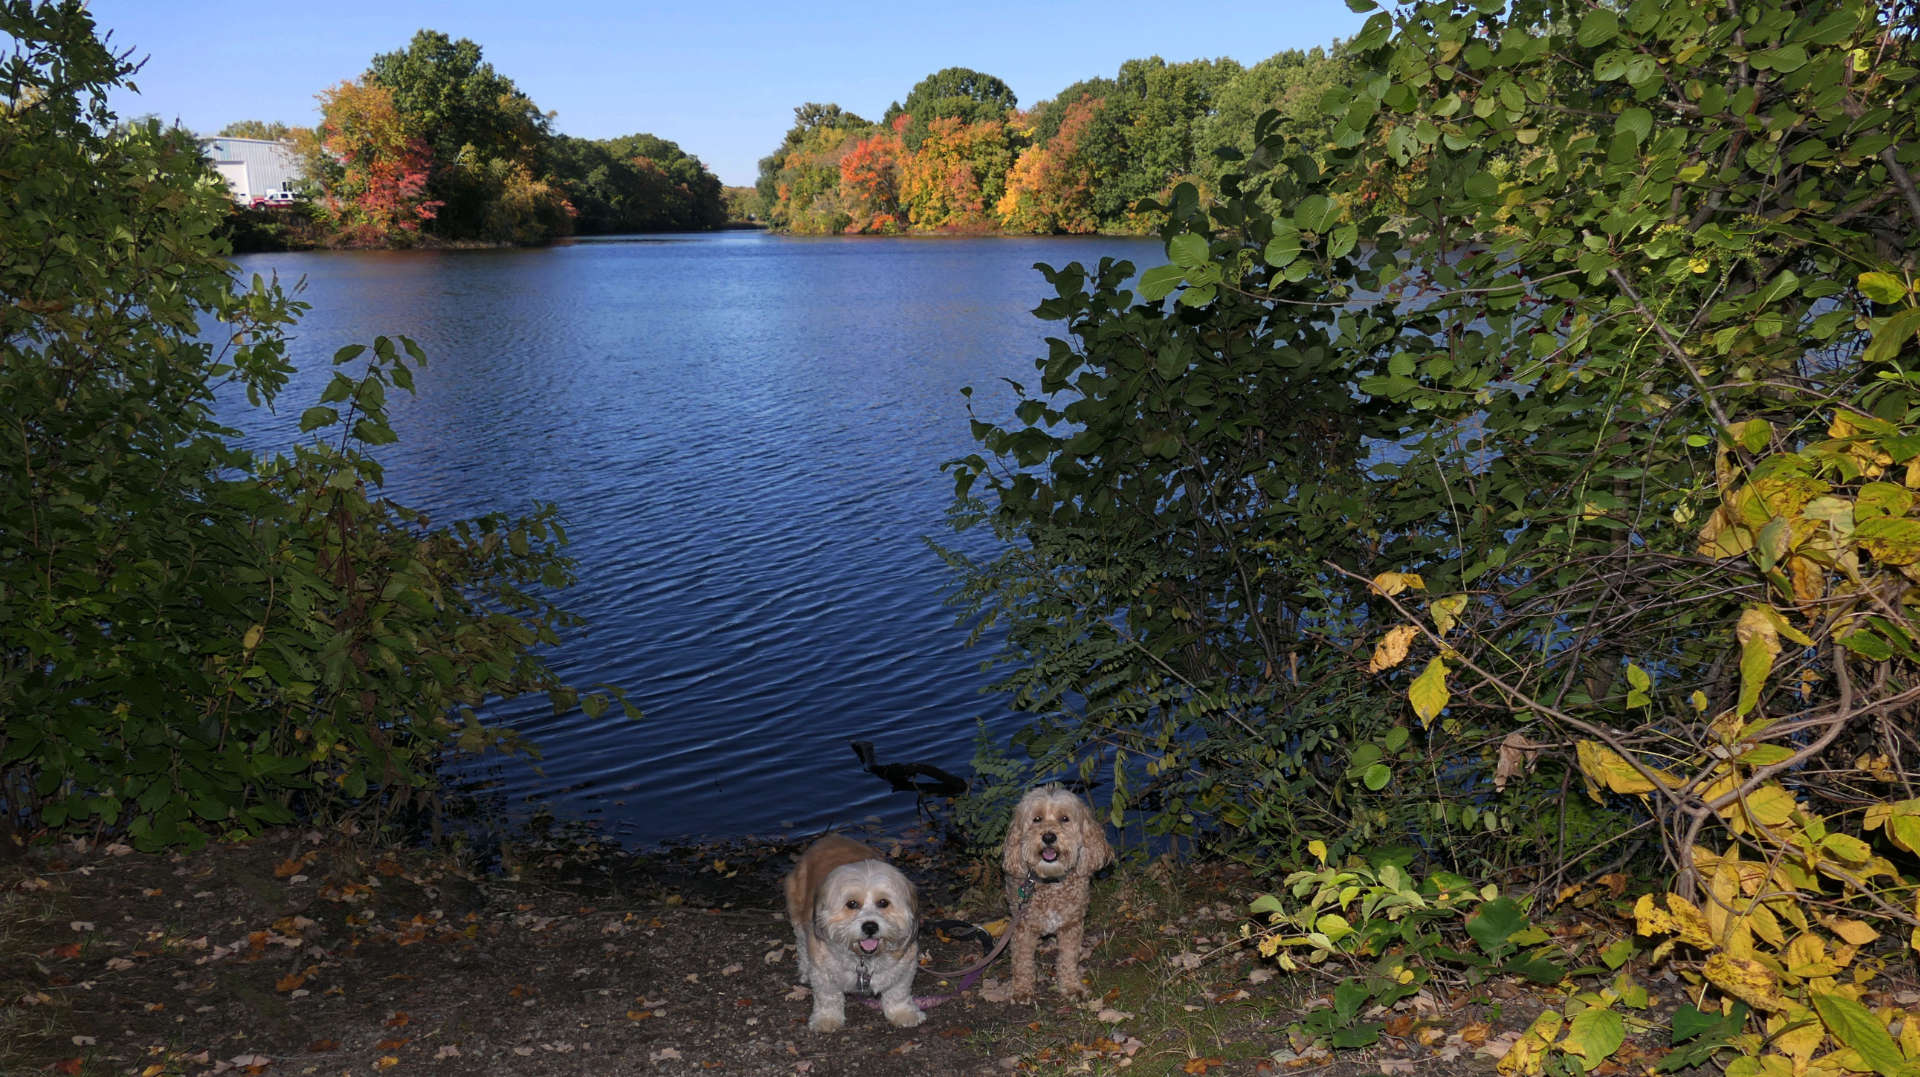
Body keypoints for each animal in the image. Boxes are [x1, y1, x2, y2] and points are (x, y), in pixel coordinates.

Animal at [783, 837, 925, 1029]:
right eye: (851, 904)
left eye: (883, 902)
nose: (870, 927)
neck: (865, 960)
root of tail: (829, 838)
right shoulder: (822, 972)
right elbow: (828, 997)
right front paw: (827, 1019)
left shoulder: (904, 967)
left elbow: (898, 993)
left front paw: (902, 1013)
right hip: (797, 915)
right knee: (801, 944)